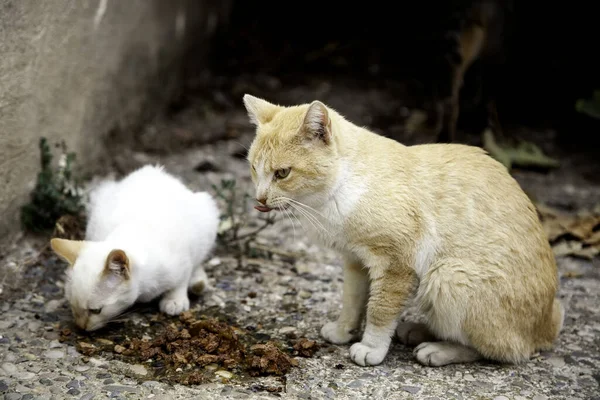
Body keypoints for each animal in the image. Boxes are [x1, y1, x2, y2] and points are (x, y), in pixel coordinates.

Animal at [50, 165, 220, 332]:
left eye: (96, 311)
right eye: (72, 305)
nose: (80, 328)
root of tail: (154, 170)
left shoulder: (183, 257)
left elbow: (181, 279)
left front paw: (174, 299)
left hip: (207, 217)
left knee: (199, 260)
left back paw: (197, 282)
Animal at [240, 93, 564, 366]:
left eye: (283, 173)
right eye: (254, 168)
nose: (260, 198)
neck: (343, 186)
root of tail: (547, 326)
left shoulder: (396, 263)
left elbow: (380, 310)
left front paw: (371, 347)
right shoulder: (355, 261)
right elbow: (353, 300)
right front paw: (345, 330)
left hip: (448, 276)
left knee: (500, 350)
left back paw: (438, 349)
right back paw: (419, 330)